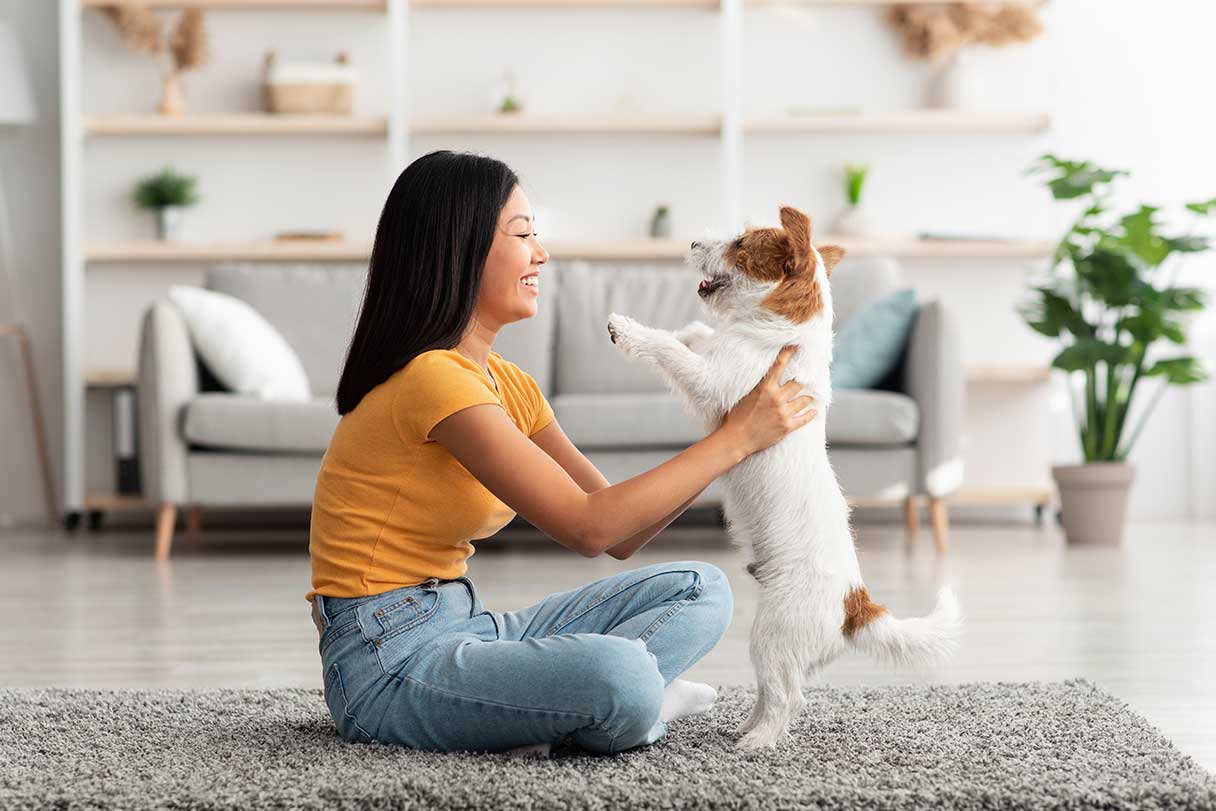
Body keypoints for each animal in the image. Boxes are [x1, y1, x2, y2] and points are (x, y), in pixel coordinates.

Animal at [605, 206, 958, 753]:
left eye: (741, 243)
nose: (691, 242)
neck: (781, 330)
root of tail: (854, 605)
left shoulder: (714, 383)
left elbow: (676, 351)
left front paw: (629, 329)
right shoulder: (719, 354)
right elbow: (697, 336)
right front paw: (689, 329)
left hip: (773, 634)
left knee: (786, 696)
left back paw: (757, 742)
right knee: (779, 690)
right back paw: (747, 727)